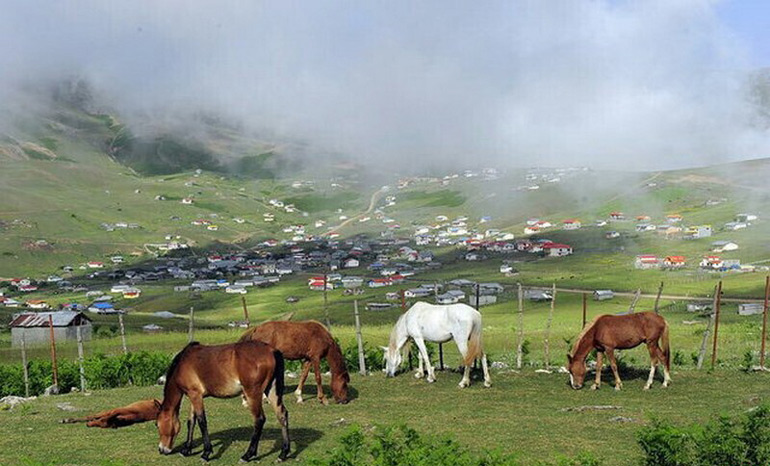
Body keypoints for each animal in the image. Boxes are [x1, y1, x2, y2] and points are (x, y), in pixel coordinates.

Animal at [154, 340, 290, 464]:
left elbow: (201, 421)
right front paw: (187, 450)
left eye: (157, 425)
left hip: (253, 394)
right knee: (282, 415)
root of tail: (272, 350)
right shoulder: (194, 396)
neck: (182, 363)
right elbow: (191, 422)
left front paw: (206, 453)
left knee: (259, 419)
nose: (161, 449)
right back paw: (283, 453)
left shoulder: (195, 396)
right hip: (271, 390)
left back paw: (247, 455)